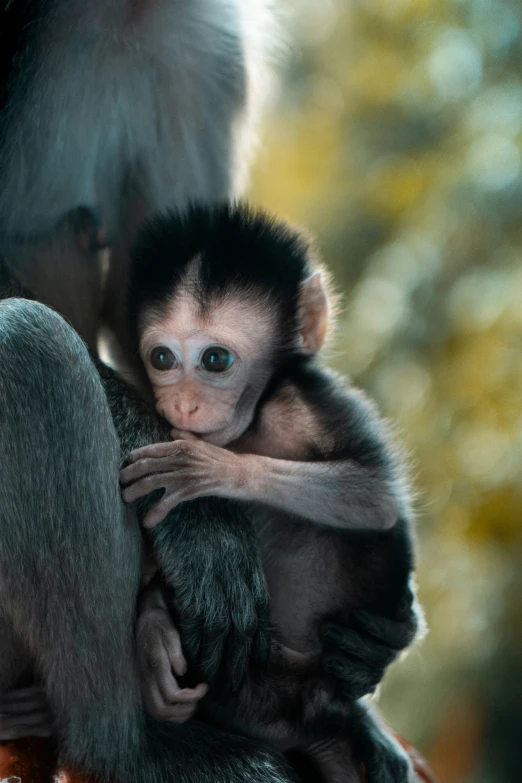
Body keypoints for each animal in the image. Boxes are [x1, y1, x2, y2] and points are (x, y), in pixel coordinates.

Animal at [121, 204, 418, 783]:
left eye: (215, 361)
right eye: (163, 358)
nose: (183, 406)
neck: (253, 419)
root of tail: (315, 714)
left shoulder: (303, 400)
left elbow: (373, 498)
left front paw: (209, 467)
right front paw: (152, 631)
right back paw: (155, 639)